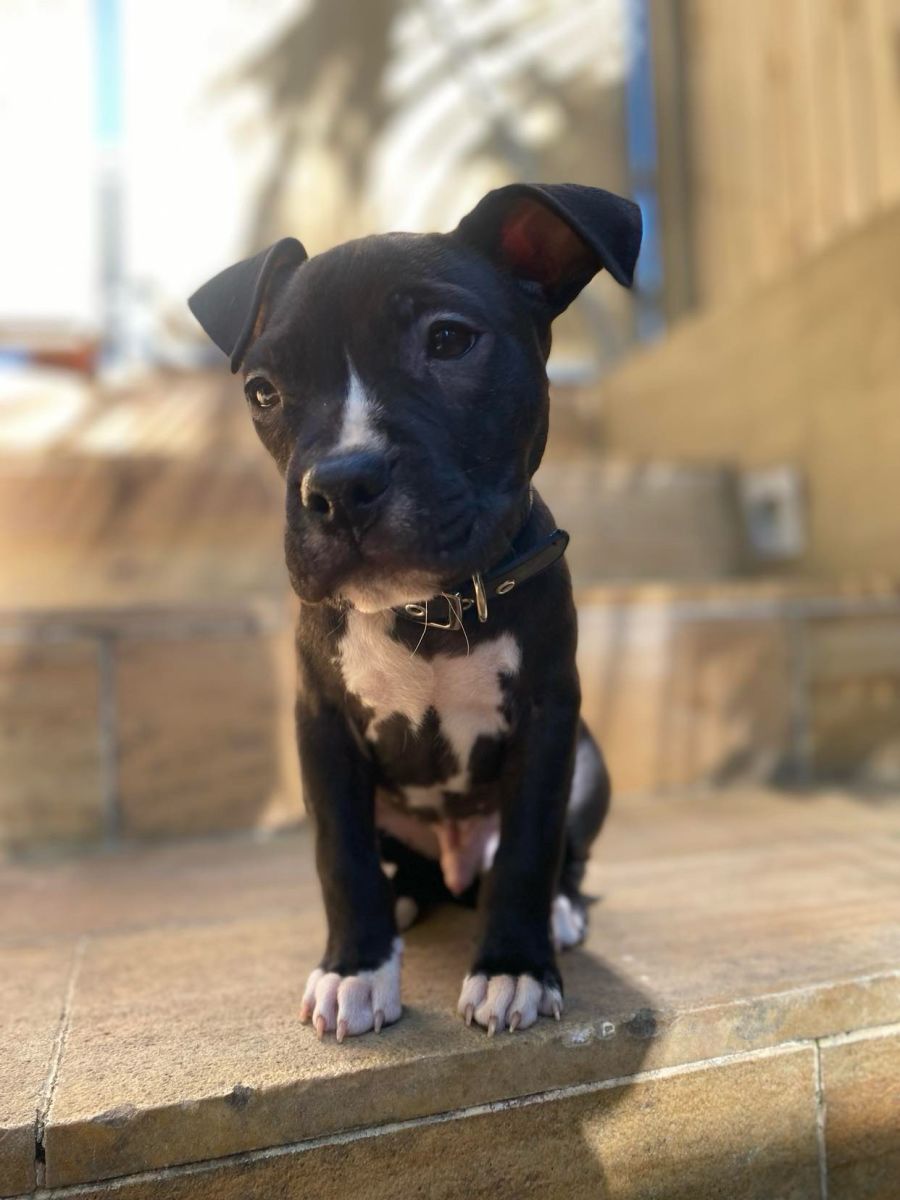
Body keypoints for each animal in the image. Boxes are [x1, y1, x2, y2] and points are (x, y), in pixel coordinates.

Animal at [188, 183, 642, 1040]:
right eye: (264, 391)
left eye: (449, 341)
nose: (339, 485)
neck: (428, 608)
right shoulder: (322, 725)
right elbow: (340, 854)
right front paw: (356, 968)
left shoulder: (547, 720)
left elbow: (530, 847)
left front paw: (513, 966)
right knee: (399, 867)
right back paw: (401, 906)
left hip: (590, 763)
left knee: (557, 858)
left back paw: (558, 911)